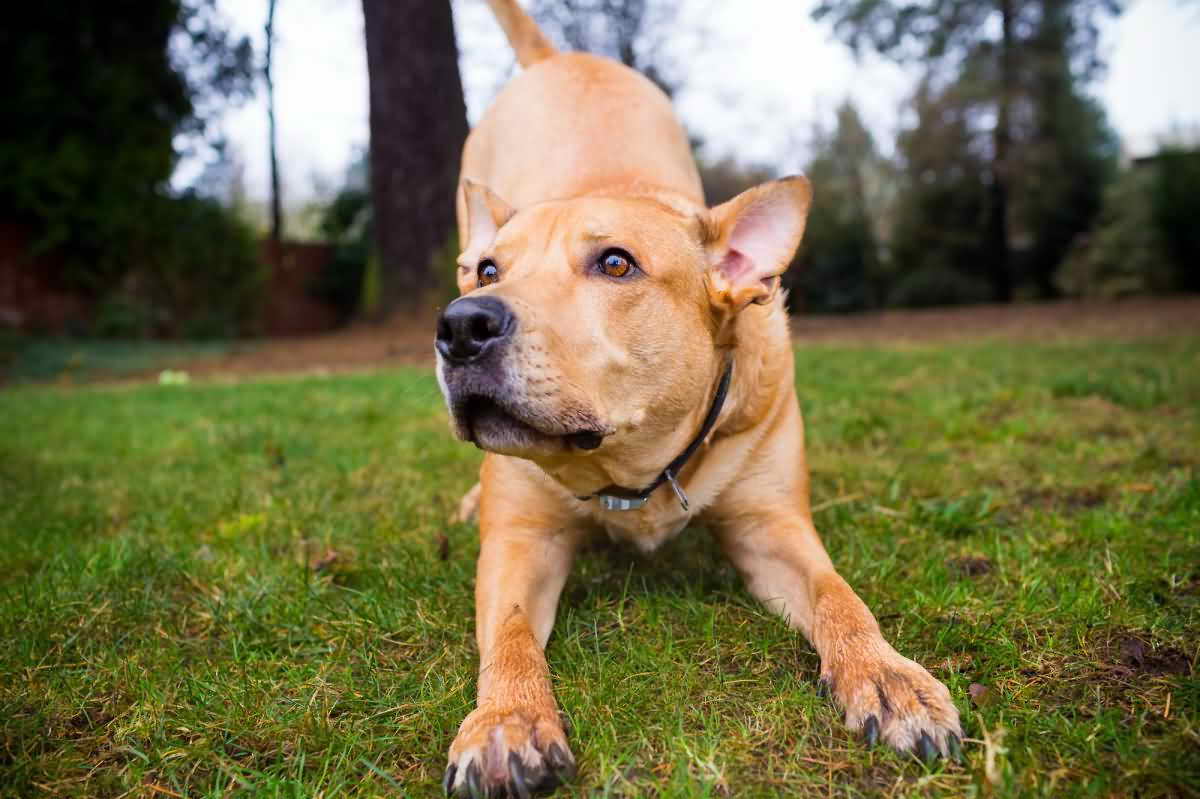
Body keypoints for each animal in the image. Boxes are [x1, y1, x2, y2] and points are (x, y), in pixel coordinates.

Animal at [436, 4, 960, 791]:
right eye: (490, 270)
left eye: (615, 263)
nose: (462, 325)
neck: (631, 464)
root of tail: (559, 60)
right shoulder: (521, 542)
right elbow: (510, 635)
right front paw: (507, 718)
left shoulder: (772, 527)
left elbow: (841, 598)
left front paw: (888, 675)